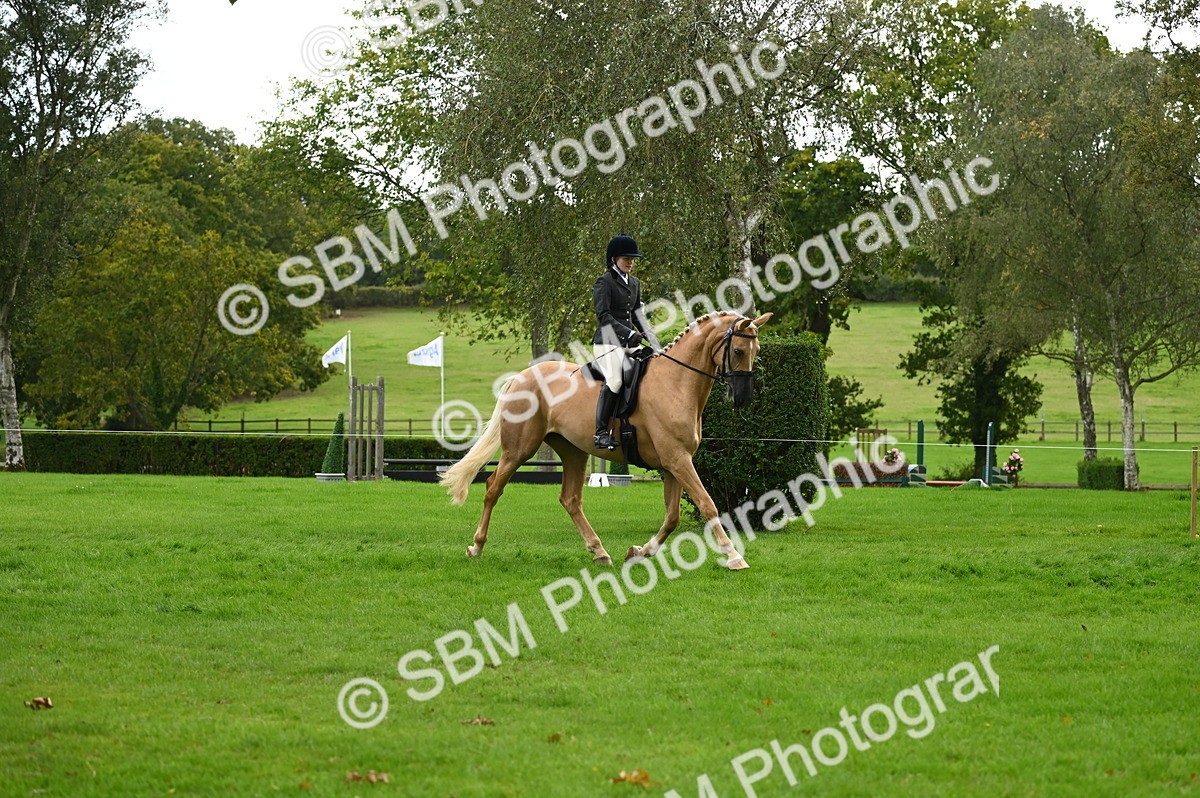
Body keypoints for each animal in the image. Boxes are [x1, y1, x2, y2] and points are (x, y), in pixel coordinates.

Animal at [439, 310, 773, 570]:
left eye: (756, 351)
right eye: (739, 351)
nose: (743, 399)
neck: (676, 382)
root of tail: (521, 377)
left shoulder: (674, 463)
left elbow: (672, 517)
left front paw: (640, 551)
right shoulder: (678, 460)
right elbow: (707, 504)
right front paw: (733, 556)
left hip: (573, 451)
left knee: (570, 499)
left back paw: (600, 552)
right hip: (519, 449)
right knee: (493, 487)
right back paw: (477, 547)